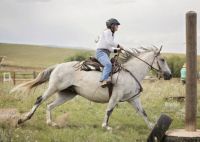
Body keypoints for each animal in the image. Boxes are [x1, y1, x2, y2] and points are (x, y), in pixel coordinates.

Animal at [10, 46, 171, 130]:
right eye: (162, 59)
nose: (169, 75)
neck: (130, 73)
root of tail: (58, 66)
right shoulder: (116, 96)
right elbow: (109, 110)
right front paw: (106, 126)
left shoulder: (134, 99)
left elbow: (143, 113)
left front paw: (152, 127)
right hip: (54, 87)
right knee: (39, 100)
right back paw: (23, 119)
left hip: (67, 94)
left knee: (49, 105)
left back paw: (51, 123)